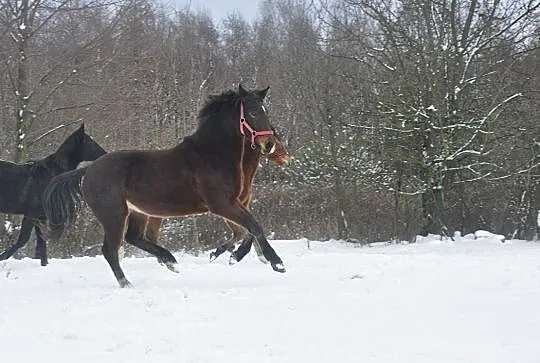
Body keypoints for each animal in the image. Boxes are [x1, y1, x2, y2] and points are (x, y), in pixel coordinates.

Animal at [0, 123, 105, 266]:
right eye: (89, 141)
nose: (105, 154)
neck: (50, 175)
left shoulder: (41, 217)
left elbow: (42, 245)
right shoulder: (31, 215)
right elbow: (23, 241)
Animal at [43, 85, 292, 288]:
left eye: (265, 111)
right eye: (252, 112)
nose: (269, 144)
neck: (212, 154)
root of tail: (88, 170)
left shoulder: (235, 203)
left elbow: (248, 229)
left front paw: (235, 256)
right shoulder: (222, 204)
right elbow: (254, 226)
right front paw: (277, 263)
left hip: (138, 212)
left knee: (134, 238)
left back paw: (170, 261)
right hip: (114, 214)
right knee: (110, 250)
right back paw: (128, 283)